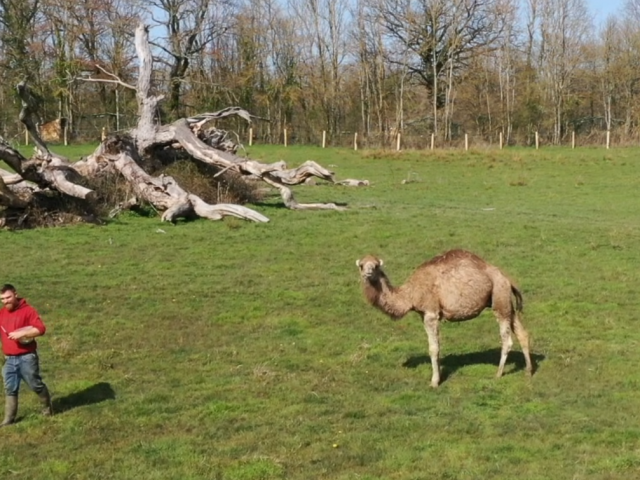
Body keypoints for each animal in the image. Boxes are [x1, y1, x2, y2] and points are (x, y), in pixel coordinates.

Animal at [358, 249, 532, 388]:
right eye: (361, 265)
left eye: (376, 266)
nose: (367, 273)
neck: (410, 294)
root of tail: (507, 278)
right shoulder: (423, 314)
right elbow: (437, 346)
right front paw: (439, 375)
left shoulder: (431, 313)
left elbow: (433, 348)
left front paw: (434, 382)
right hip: (505, 301)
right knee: (522, 333)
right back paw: (529, 371)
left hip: (499, 296)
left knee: (507, 339)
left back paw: (498, 374)